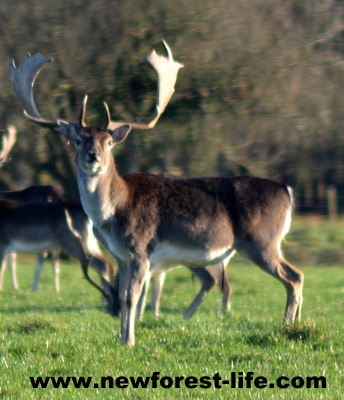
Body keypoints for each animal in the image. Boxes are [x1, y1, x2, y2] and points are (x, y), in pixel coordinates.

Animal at [10, 41, 304, 346]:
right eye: (78, 140)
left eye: (108, 142)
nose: (93, 157)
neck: (113, 213)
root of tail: (287, 191)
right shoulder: (121, 255)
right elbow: (122, 295)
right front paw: (120, 338)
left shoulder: (141, 249)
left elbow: (131, 297)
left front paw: (129, 340)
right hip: (267, 243)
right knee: (297, 276)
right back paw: (294, 325)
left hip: (262, 241)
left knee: (294, 277)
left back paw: (287, 325)